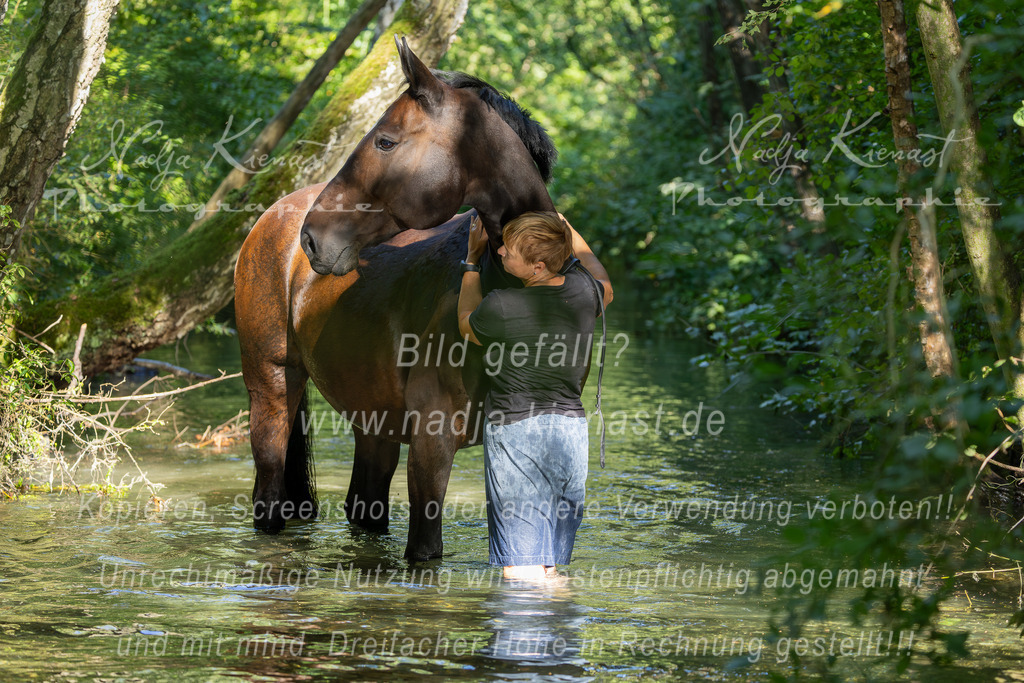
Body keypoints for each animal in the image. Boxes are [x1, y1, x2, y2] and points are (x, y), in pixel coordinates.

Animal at [234, 37, 561, 561]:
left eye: (385, 141)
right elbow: (425, 550)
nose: (312, 238)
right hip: (272, 390)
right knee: (269, 502)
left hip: (374, 424)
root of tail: (273, 215)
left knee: (364, 508)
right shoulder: (432, 443)